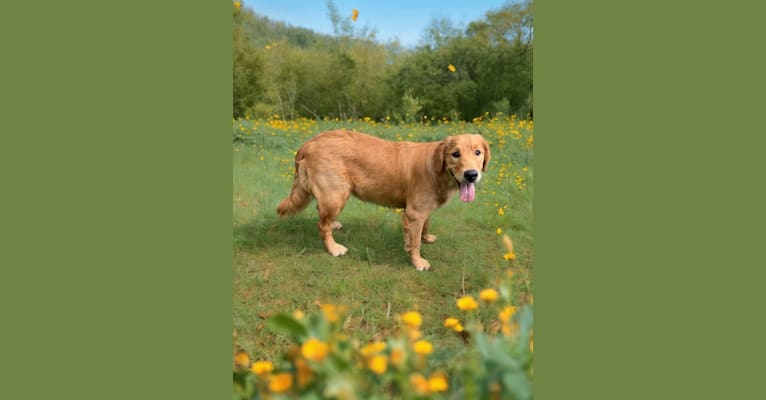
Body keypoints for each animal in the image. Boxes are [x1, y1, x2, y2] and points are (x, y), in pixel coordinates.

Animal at [278, 130, 492, 270]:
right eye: (455, 154)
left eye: (478, 152)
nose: (471, 175)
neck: (437, 169)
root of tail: (309, 142)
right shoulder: (415, 212)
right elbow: (415, 242)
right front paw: (417, 261)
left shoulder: (420, 211)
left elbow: (424, 226)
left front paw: (425, 237)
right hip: (336, 195)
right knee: (322, 225)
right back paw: (333, 247)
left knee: (321, 213)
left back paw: (335, 224)